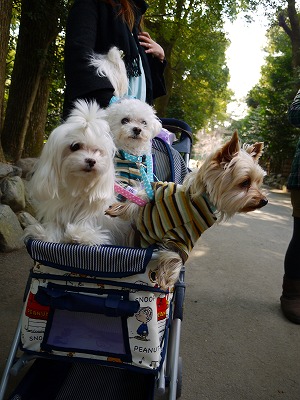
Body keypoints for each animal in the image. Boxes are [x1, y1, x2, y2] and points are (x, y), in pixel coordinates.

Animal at [22, 98, 127, 245]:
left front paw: (81, 234)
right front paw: (44, 234)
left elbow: (86, 223)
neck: (77, 185)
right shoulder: (56, 211)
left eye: (97, 151)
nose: (91, 161)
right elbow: (54, 225)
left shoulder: (91, 213)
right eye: (75, 146)